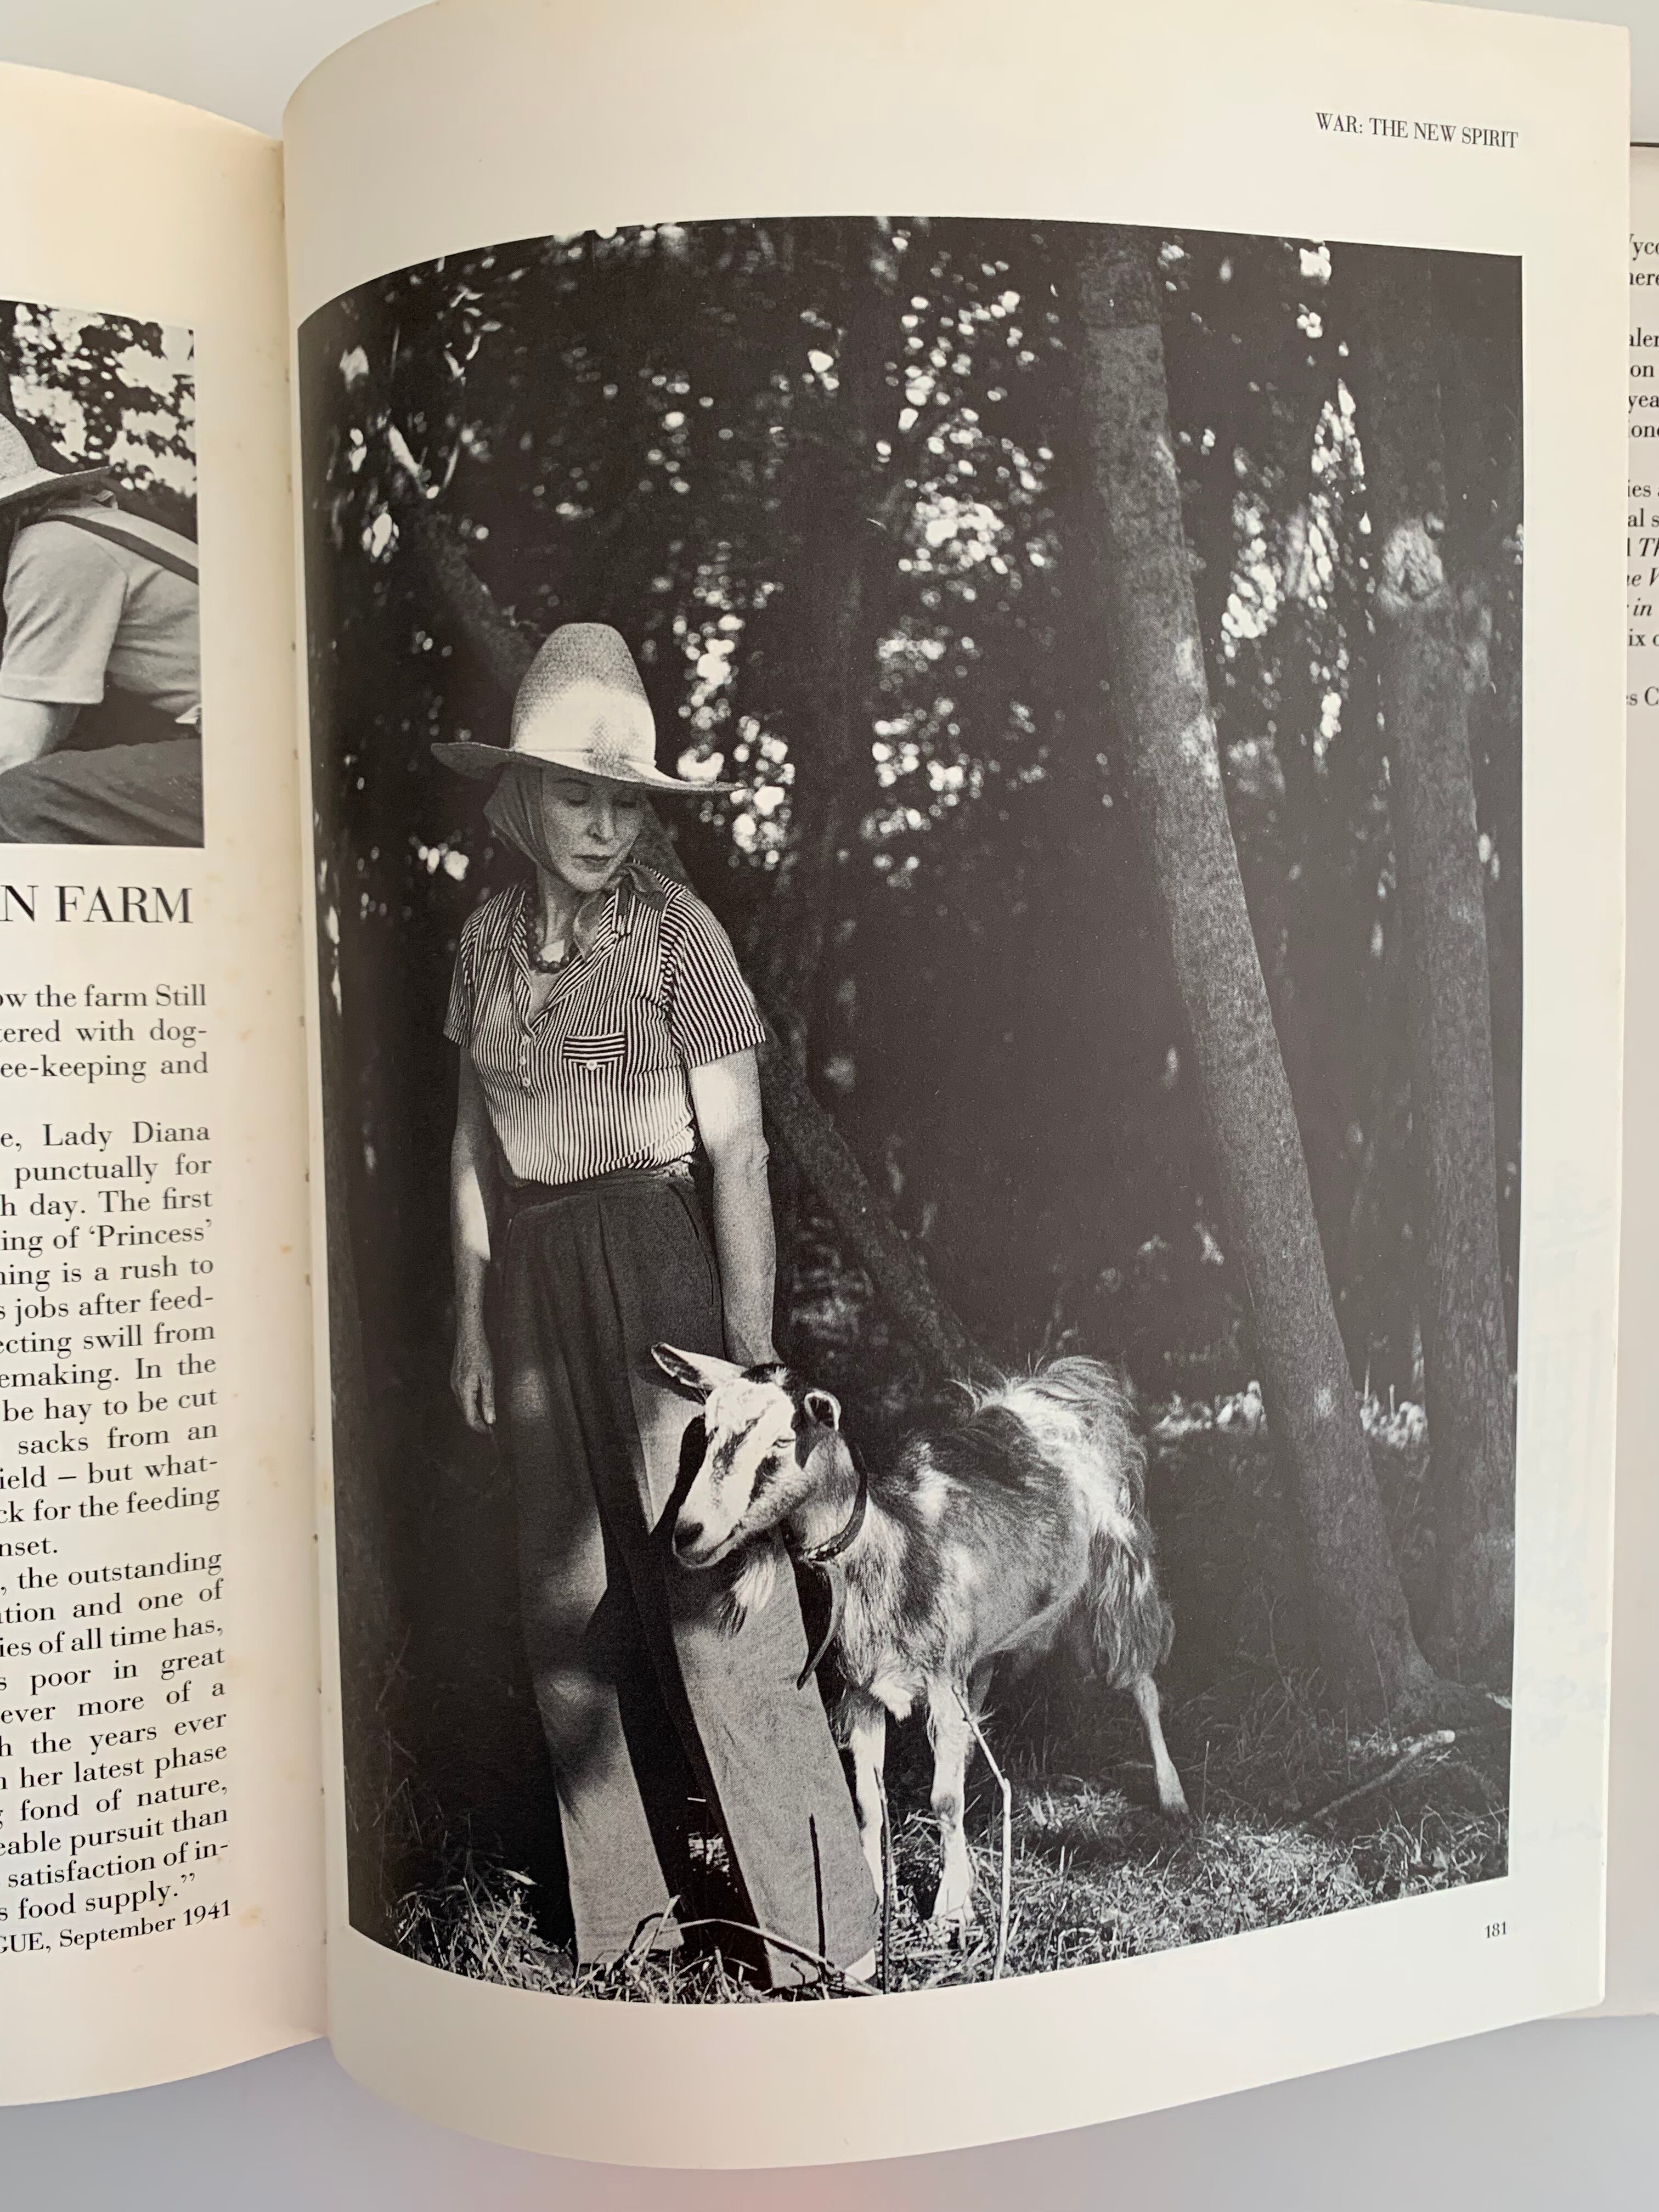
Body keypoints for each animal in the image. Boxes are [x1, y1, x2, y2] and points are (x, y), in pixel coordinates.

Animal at [652, 1346, 1188, 1930]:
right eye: (707, 1430)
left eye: (781, 1441)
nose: (688, 1533)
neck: (893, 1543)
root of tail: (1068, 1385)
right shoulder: (862, 1689)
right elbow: (868, 1800)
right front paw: (875, 1891)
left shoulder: (941, 1680)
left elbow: (944, 1801)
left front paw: (952, 1905)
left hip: (1120, 1581)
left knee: (1144, 1685)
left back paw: (1173, 1795)